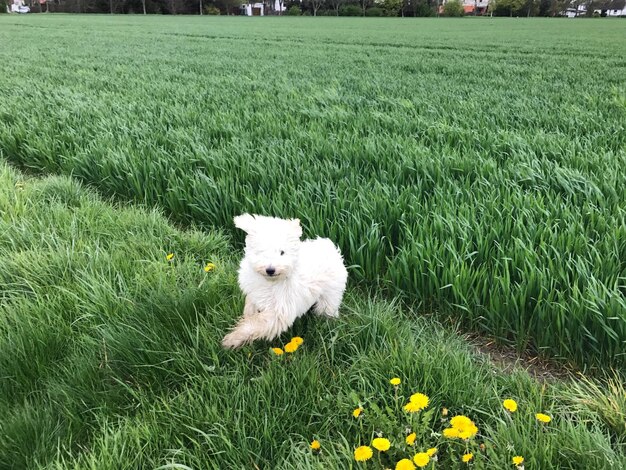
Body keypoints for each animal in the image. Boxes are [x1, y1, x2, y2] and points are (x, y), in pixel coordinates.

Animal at [219, 214, 346, 348]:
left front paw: (232, 339)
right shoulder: (254, 294)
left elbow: (255, 324)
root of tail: (330, 247)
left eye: (282, 252)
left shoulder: (279, 312)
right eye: (261, 252)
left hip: (330, 297)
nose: (270, 270)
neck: (270, 282)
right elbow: (250, 310)